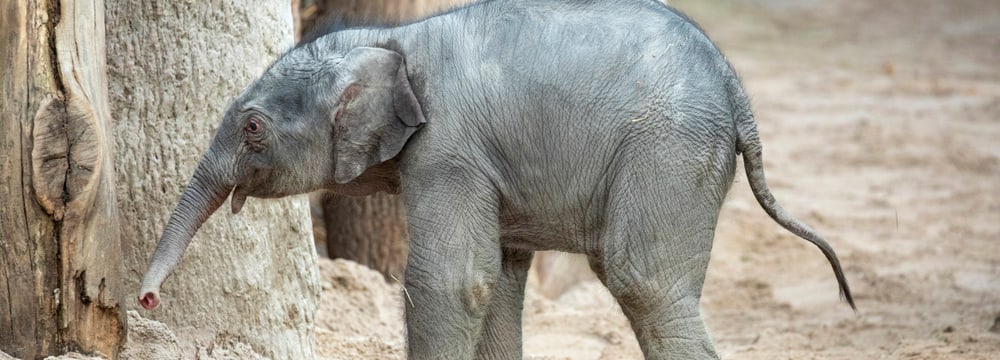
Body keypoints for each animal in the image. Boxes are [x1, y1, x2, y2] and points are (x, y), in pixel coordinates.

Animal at [137, 1, 856, 358]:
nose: (144, 302)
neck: (392, 38)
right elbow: (498, 283)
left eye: (254, 128)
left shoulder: (449, 149)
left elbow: (452, 282)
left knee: (643, 283)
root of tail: (735, 88)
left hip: (669, 151)